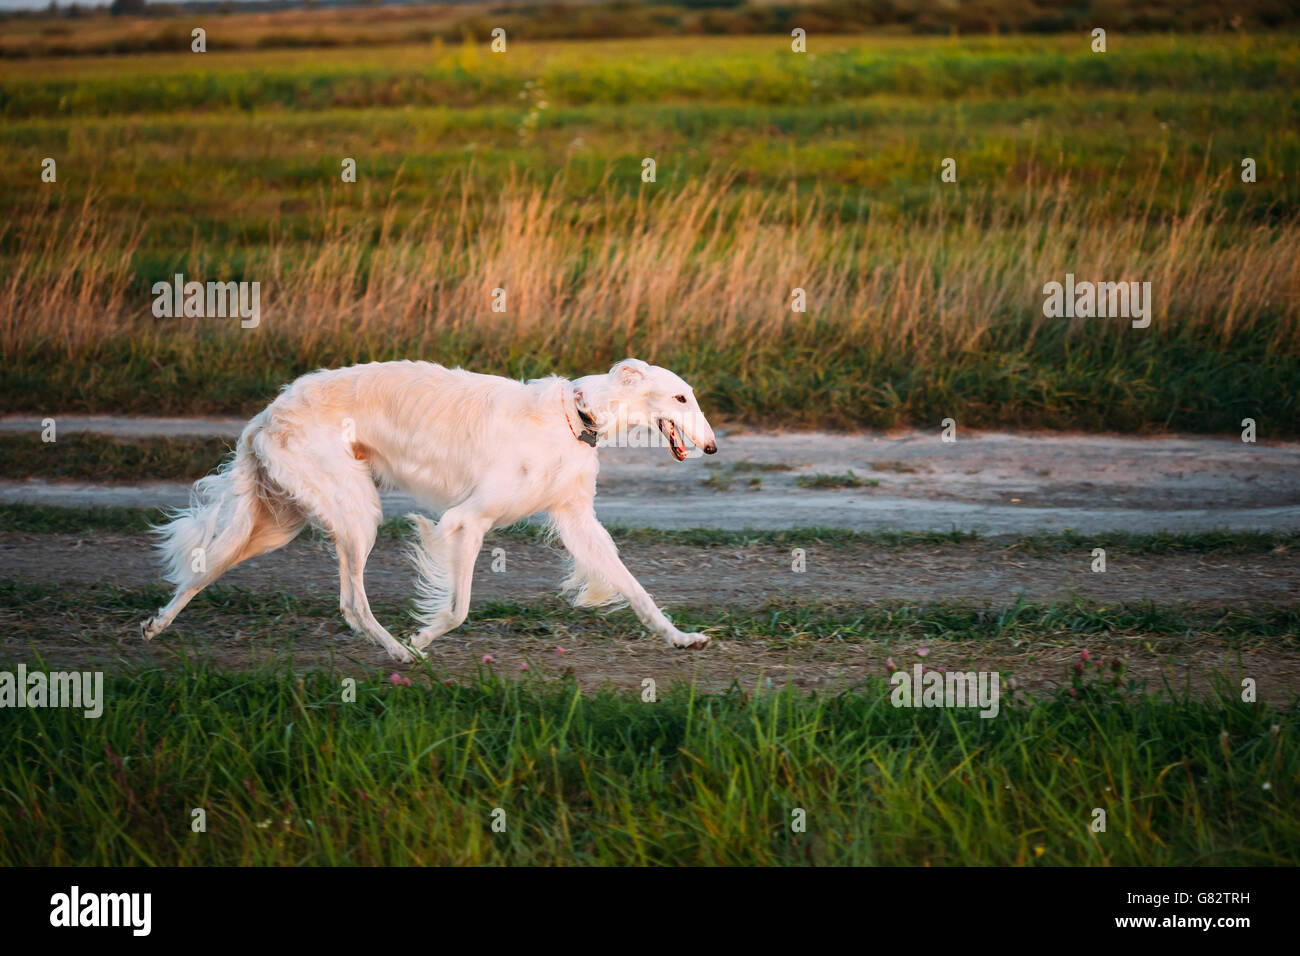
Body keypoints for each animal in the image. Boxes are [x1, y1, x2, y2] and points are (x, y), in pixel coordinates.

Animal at [142, 356, 722, 660]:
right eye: (681, 398)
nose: (714, 447)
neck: (574, 416)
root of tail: (266, 414)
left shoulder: (577, 521)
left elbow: (637, 591)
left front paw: (681, 637)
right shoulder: (468, 520)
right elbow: (459, 607)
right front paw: (421, 635)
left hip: (283, 519)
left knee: (207, 567)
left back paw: (156, 625)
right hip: (355, 513)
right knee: (352, 604)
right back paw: (400, 653)